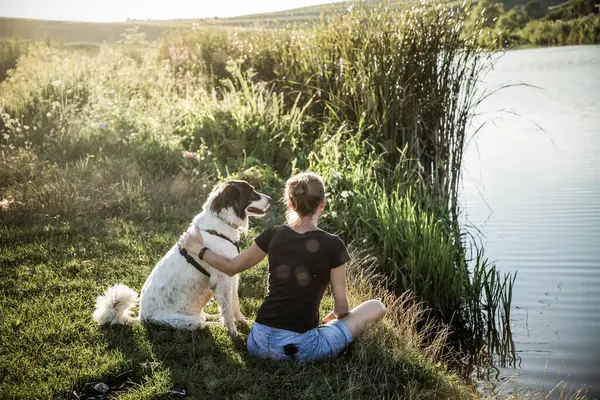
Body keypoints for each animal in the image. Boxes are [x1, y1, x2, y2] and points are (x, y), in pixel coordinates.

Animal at [92, 181, 270, 338]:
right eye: (251, 192)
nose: (270, 199)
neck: (219, 225)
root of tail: (141, 318)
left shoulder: (232, 275)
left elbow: (235, 305)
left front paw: (243, 322)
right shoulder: (223, 279)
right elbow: (227, 311)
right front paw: (234, 333)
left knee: (204, 316)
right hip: (188, 322)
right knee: (202, 322)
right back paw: (215, 323)